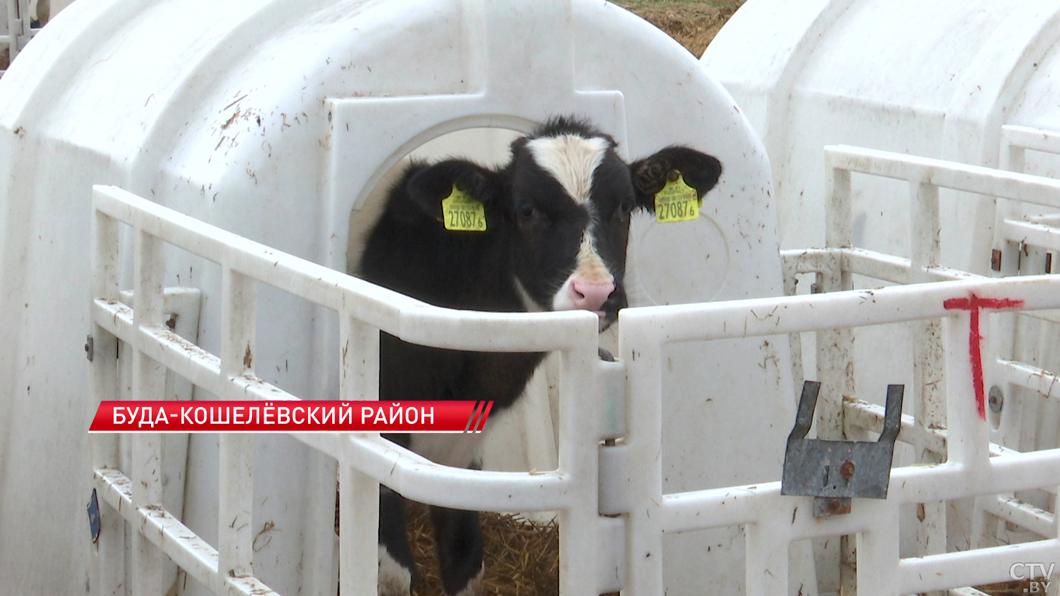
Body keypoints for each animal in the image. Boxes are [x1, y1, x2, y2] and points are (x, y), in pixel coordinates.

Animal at [360, 113, 725, 589]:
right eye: (526, 210)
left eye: (625, 206)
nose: (596, 293)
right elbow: (393, 574)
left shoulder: (459, 456)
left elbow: (466, 561)